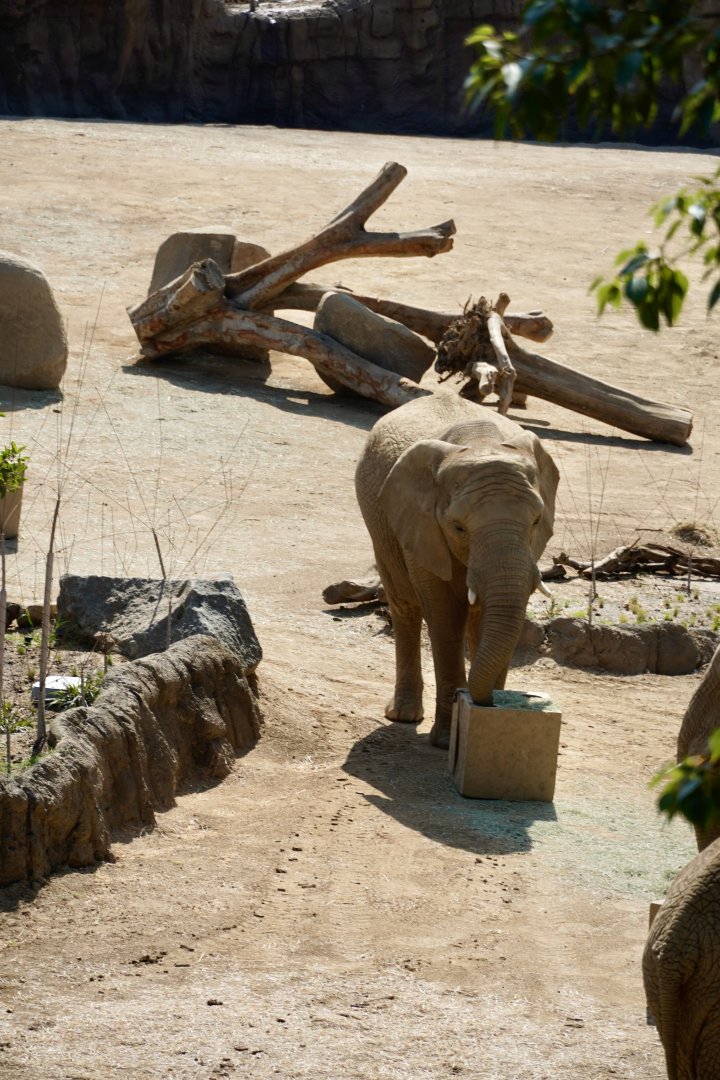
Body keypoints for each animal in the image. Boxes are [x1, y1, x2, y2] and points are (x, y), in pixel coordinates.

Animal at [354, 388, 559, 748]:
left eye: (536, 521)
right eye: (458, 528)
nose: (485, 702)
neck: (480, 442)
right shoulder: (423, 526)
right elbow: (444, 615)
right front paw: (445, 740)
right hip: (379, 521)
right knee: (404, 605)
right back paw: (403, 715)